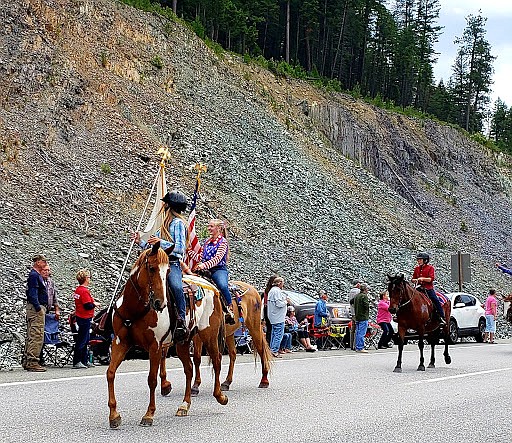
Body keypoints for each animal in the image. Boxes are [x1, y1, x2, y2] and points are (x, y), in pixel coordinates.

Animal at [107, 246, 227, 430]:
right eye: (151, 268)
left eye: (168, 271)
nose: (160, 303)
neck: (134, 309)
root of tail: (212, 288)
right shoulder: (120, 342)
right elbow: (111, 373)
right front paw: (114, 415)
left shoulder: (155, 346)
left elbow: (151, 379)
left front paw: (149, 414)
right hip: (183, 342)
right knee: (189, 369)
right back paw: (184, 405)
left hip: (209, 335)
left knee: (217, 361)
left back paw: (220, 396)